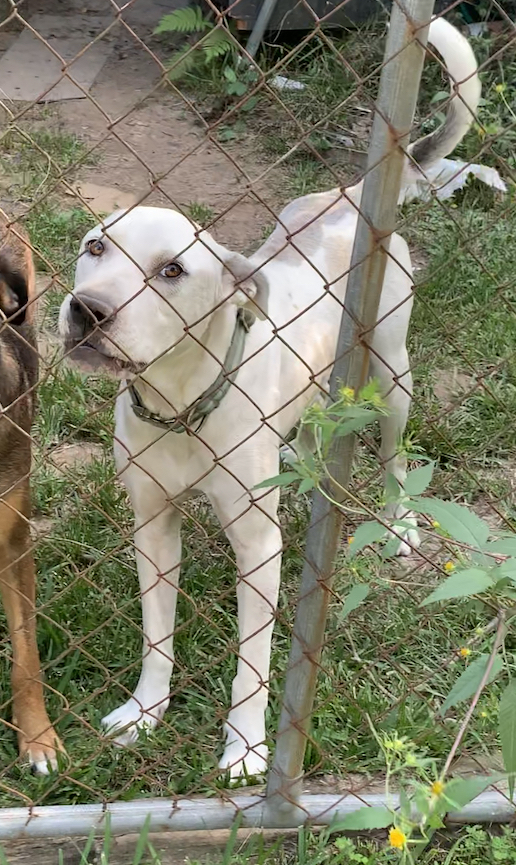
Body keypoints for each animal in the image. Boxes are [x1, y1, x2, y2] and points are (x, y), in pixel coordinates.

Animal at [59, 18, 480, 776]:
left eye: (173, 270)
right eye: (94, 246)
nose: (87, 311)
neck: (181, 408)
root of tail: (350, 194)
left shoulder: (258, 546)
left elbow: (252, 663)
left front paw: (248, 748)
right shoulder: (152, 524)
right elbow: (156, 637)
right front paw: (145, 713)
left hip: (393, 377)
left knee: (394, 456)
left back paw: (398, 521)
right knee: (314, 442)